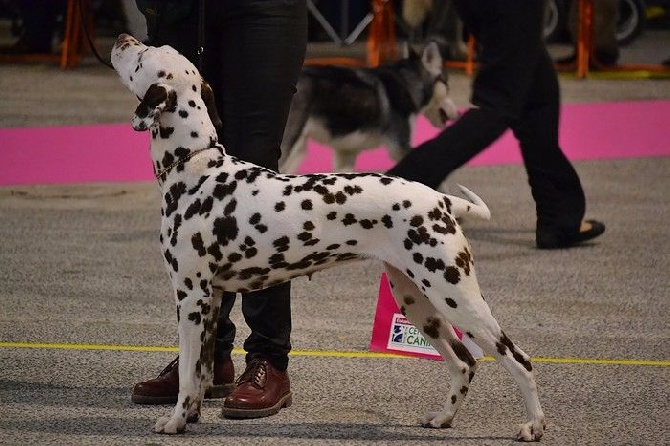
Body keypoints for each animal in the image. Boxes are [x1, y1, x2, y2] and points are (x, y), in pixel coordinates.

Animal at [280, 42, 462, 172]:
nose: (459, 114)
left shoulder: (346, 153)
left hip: (299, 150)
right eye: (447, 85)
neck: (407, 82)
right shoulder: (401, 148)